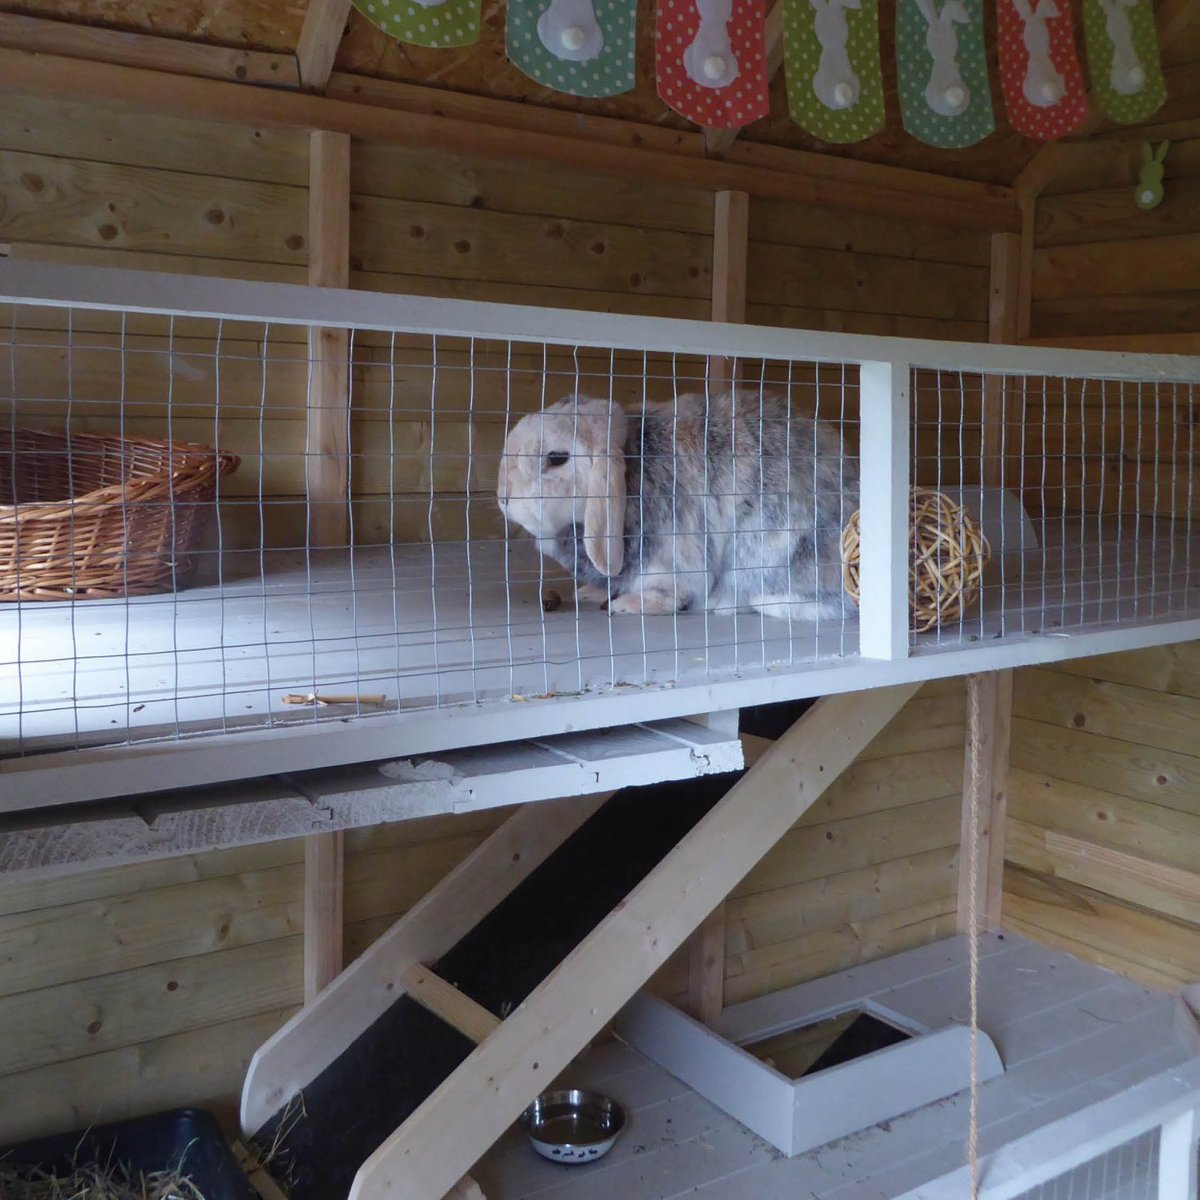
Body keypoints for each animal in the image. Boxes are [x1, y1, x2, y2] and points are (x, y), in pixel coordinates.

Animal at [496, 391, 858, 620]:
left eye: (556, 458)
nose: (503, 497)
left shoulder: (674, 557)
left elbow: (672, 592)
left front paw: (628, 605)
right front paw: (591, 593)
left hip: (772, 547)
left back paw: (734, 602)